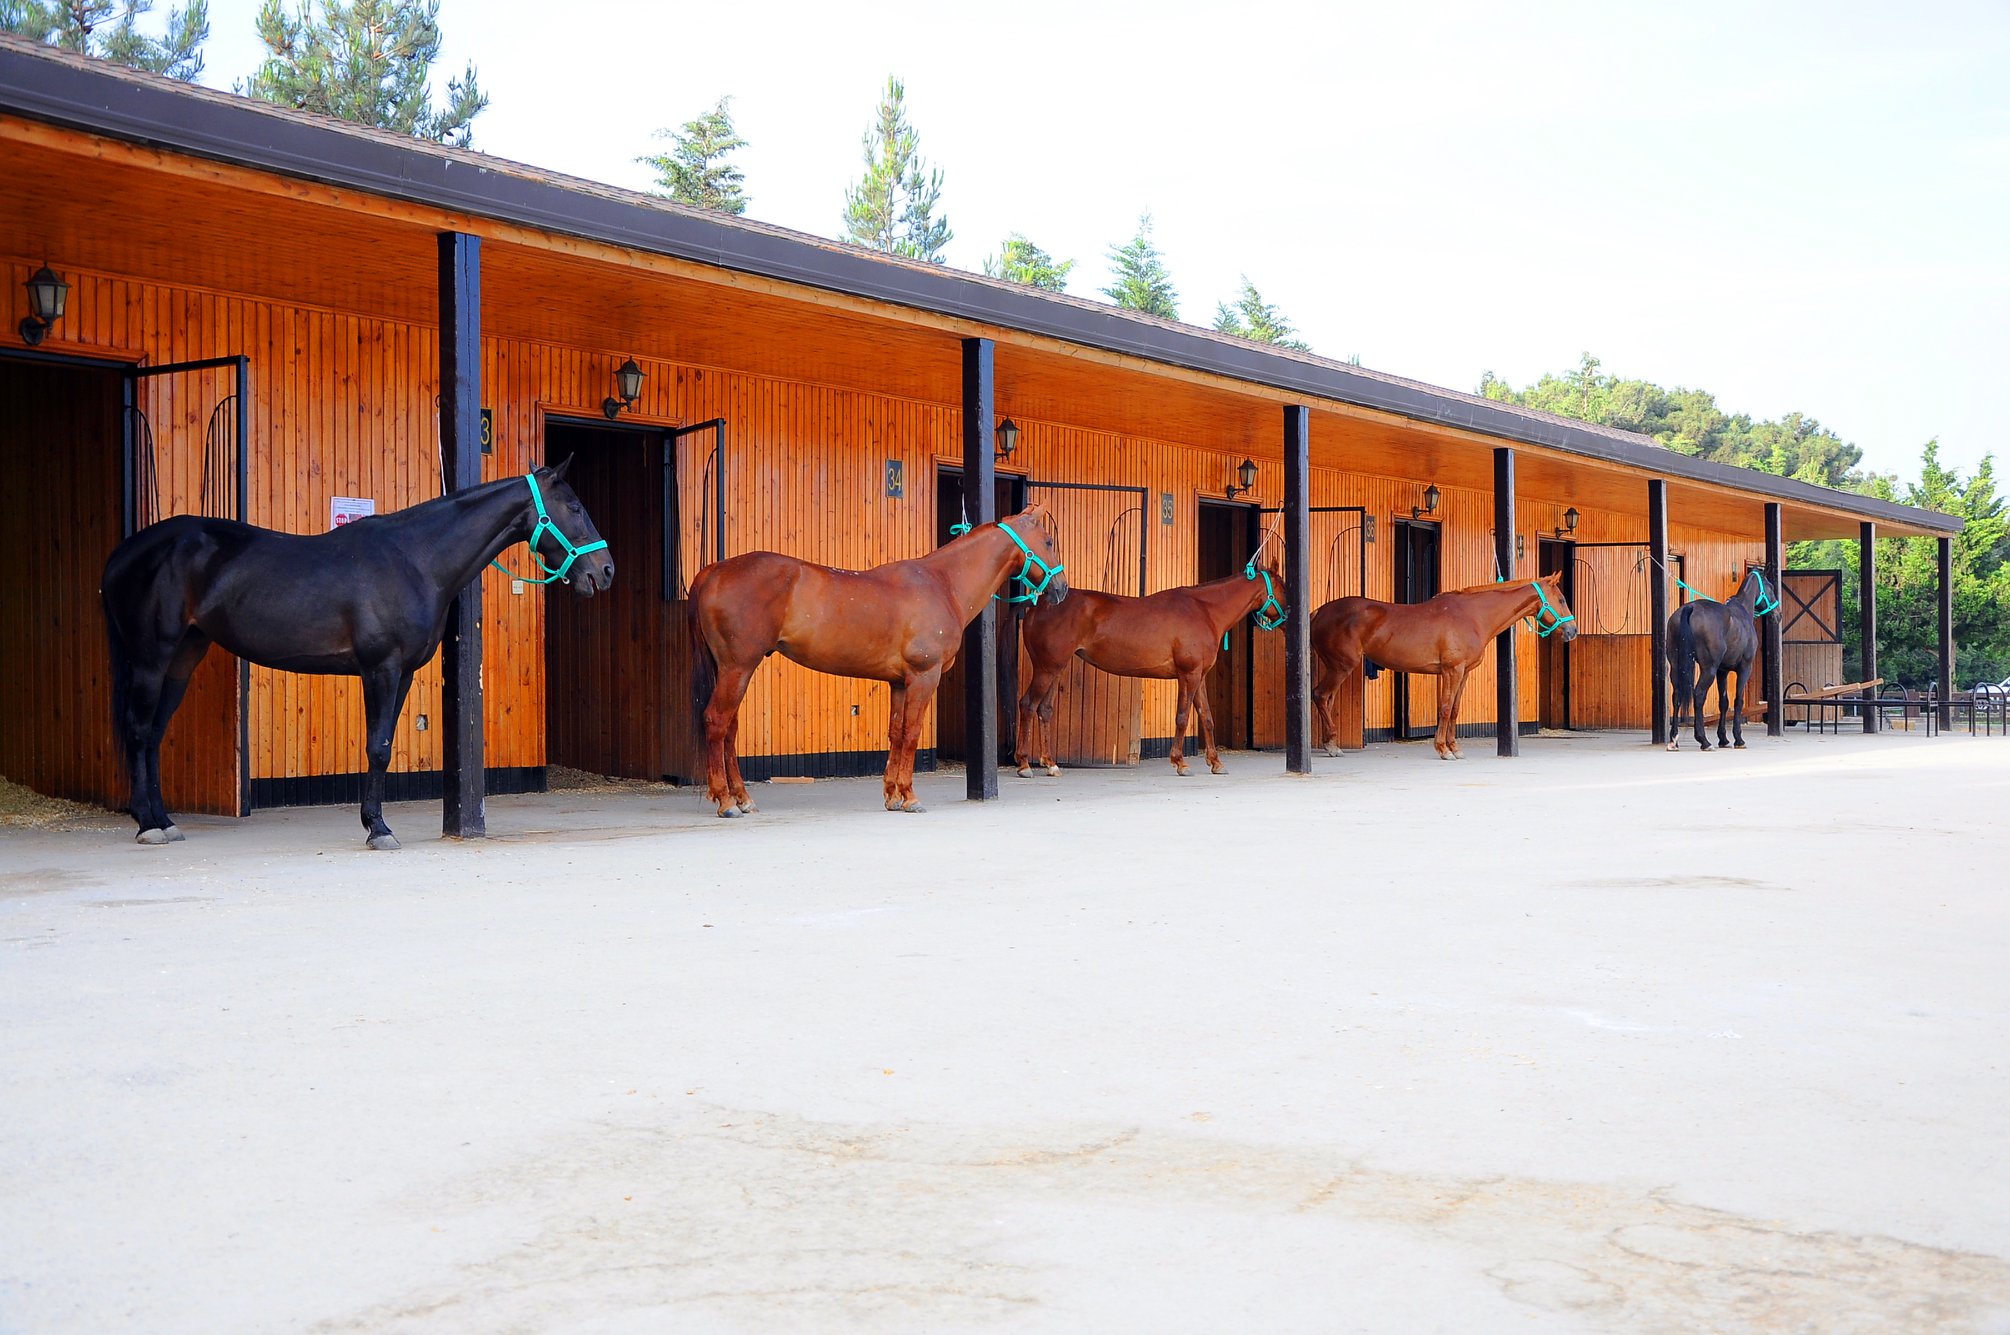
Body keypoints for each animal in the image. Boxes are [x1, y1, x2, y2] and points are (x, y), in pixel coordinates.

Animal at [101, 459, 613, 849]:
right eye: (574, 506)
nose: (605, 571)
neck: (416, 559)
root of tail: (124, 553)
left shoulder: (402, 674)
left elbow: (383, 743)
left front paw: (375, 823)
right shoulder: (380, 669)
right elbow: (379, 747)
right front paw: (378, 829)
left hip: (182, 659)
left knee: (153, 735)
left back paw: (163, 821)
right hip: (151, 658)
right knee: (140, 732)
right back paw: (148, 825)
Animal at [688, 502, 1068, 816]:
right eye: (1049, 541)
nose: (1062, 588)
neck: (943, 583)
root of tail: (712, 571)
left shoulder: (899, 682)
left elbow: (896, 733)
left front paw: (893, 795)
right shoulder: (923, 676)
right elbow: (912, 733)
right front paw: (911, 797)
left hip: (730, 669)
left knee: (730, 729)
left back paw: (742, 798)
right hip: (738, 668)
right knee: (717, 722)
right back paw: (726, 802)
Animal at [1013, 547, 1288, 778]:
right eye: (1284, 587)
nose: (1289, 618)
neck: (1205, 611)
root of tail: (1036, 607)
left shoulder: (1199, 677)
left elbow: (1207, 718)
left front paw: (1216, 763)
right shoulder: (1188, 675)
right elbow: (1182, 717)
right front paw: (1180, 763)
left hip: (1055, 669)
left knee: (1044, 710)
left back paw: (1051, 764)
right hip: (1046, 669)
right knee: (1027, 705)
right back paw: (1025, 764)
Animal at [1310, 573, 1578, 759]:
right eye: (1562, 599)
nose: (1572, 631)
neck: (1473, 615)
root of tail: (1318, 613)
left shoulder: (1464, 672)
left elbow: (1456, 709)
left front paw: (1455, 747)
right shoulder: (1452, 670)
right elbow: (1446, 708)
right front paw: (1443, 749)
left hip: (1336, 667)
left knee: (1327, 700)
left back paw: (1330, 744)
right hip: (1342, 666)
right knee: (1320, 696)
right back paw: (1332, 746)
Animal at [1665, 568, 1775, 752]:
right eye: (1771, 587)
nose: (1777, 614)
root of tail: (1690, 607)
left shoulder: (1722, 671)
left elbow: (1723, 702)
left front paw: (1723, 738)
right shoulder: (1744, 668)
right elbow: (1738, 701)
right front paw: (1738, 739)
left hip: (1676, 666)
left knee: (1677, 695)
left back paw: (1674, 740)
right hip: (1708, 669)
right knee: (1699, 695)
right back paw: (1703, 741)